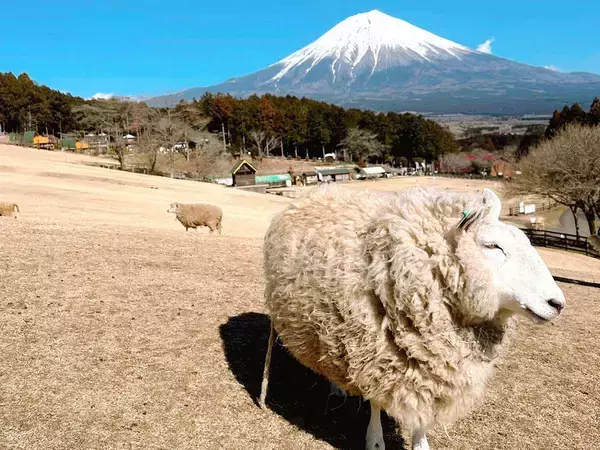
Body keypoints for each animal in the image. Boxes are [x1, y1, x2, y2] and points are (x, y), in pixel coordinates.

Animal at [260, 185, 564, 450]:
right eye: (493, 246)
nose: (558, 303)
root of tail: (318, 191)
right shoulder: (376, 354)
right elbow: (376, 403)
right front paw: (375, 441)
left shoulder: (430, 365)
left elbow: (423, 409)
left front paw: (420, 442)